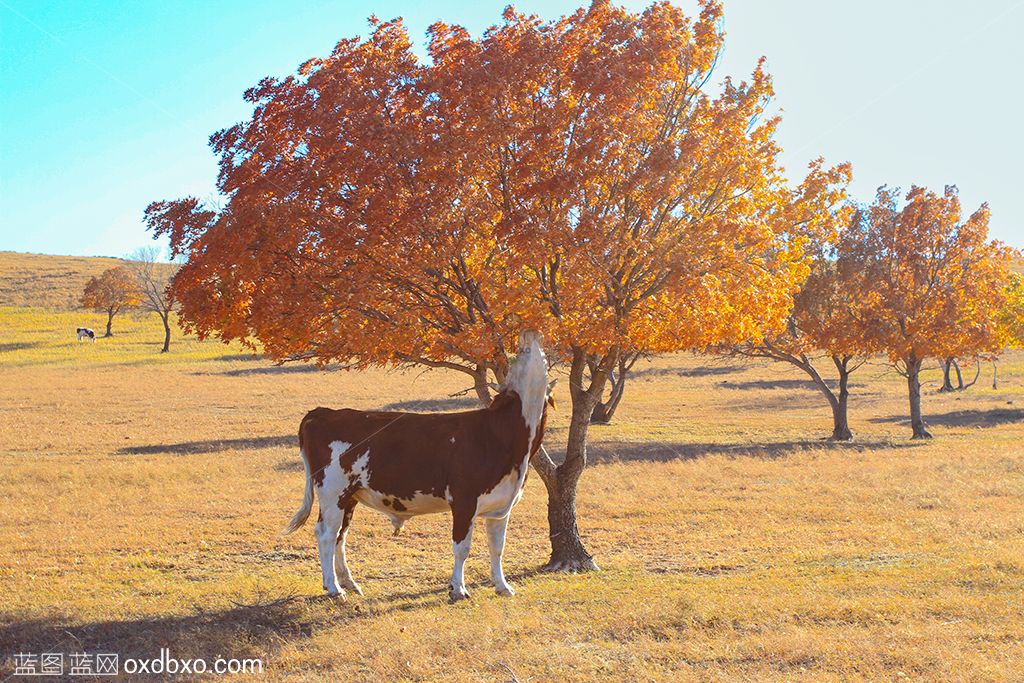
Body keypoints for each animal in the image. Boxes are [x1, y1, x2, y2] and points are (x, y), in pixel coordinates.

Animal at [280, 331, 552, 602]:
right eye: (523, 353)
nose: (531, 333)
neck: (504, 436)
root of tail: (322, 412)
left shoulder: (502, 503)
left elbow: (497, 548)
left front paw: (503, 586)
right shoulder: (464, 500)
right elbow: (462, 547)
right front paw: (458, 588)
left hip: (349, 496)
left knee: (340, 536)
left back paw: (349, 583)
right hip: (333, 491)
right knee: (326, 534)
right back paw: (333, 587)